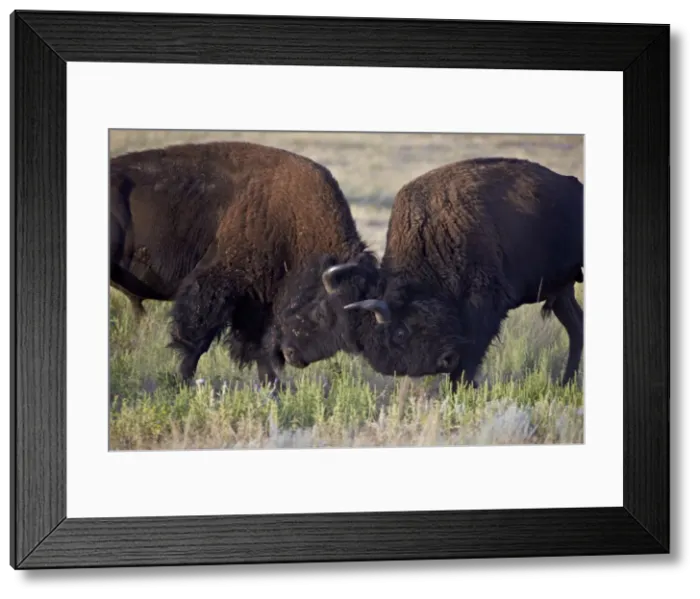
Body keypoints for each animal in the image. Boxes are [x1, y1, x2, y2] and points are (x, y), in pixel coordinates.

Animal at [109, 140, 377, 391]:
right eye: (323, 312)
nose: (295, 357)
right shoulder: (217, 285)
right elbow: (197, 339)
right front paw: (181, 382)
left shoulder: (257, 301)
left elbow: (259, 346)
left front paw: (275, 388)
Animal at [278, 157, 584, 392]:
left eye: (400, 332)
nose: (443, 361)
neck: (432, 232)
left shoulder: (485, 307)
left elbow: (471, 356)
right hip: (562, 291)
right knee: (576, 326)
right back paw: (565, 384)